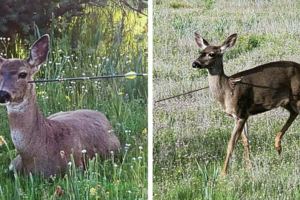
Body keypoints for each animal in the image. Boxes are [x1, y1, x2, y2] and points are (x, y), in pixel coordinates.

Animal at [192, 32, 300, 176]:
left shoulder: (241, 113)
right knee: (293, 113)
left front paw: (223, 173)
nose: (194, 63)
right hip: (288, 101)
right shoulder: (243, 114)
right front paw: (249, 167)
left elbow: (231, 144)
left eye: (212, 54)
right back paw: (277, 145)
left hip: (297, 95)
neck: (227, 90)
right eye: (200, 52)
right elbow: (245, 141)